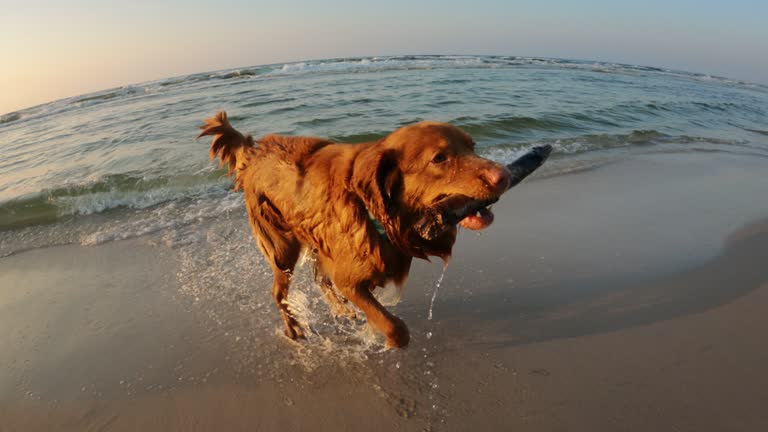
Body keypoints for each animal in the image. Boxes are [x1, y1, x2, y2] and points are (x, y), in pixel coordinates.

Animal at [198, 112, 510, 348]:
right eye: (439, 158)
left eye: (472, 145)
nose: (505, 175)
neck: (373, 208)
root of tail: (254, 153)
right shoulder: (349, 278)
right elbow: (394, 327)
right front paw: (384, 339)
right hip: (282, 248)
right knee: (278, 292)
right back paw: (294, 328)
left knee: (319, 279)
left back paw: (341, 310)